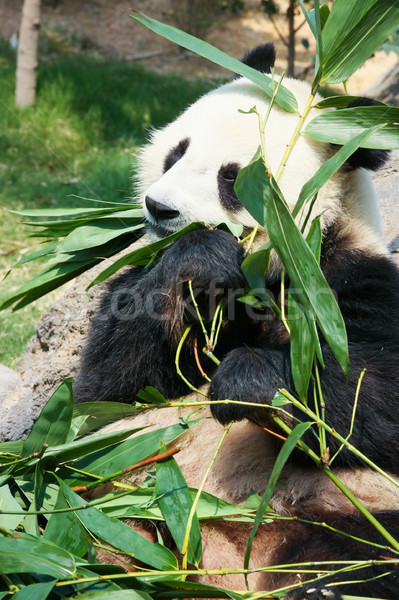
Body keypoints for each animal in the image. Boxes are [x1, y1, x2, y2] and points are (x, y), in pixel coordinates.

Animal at [73, 44, 399, 596]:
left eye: (233, 178)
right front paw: (200, 257)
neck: (265, 272)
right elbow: (104, 396)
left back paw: (322, 584)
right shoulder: (145, 280)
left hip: (347, 511)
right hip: (126, 504)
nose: (159, 207)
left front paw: (249, 381)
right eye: (177, 152)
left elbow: (373, 397)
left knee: (362, 556)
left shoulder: (354, 281)